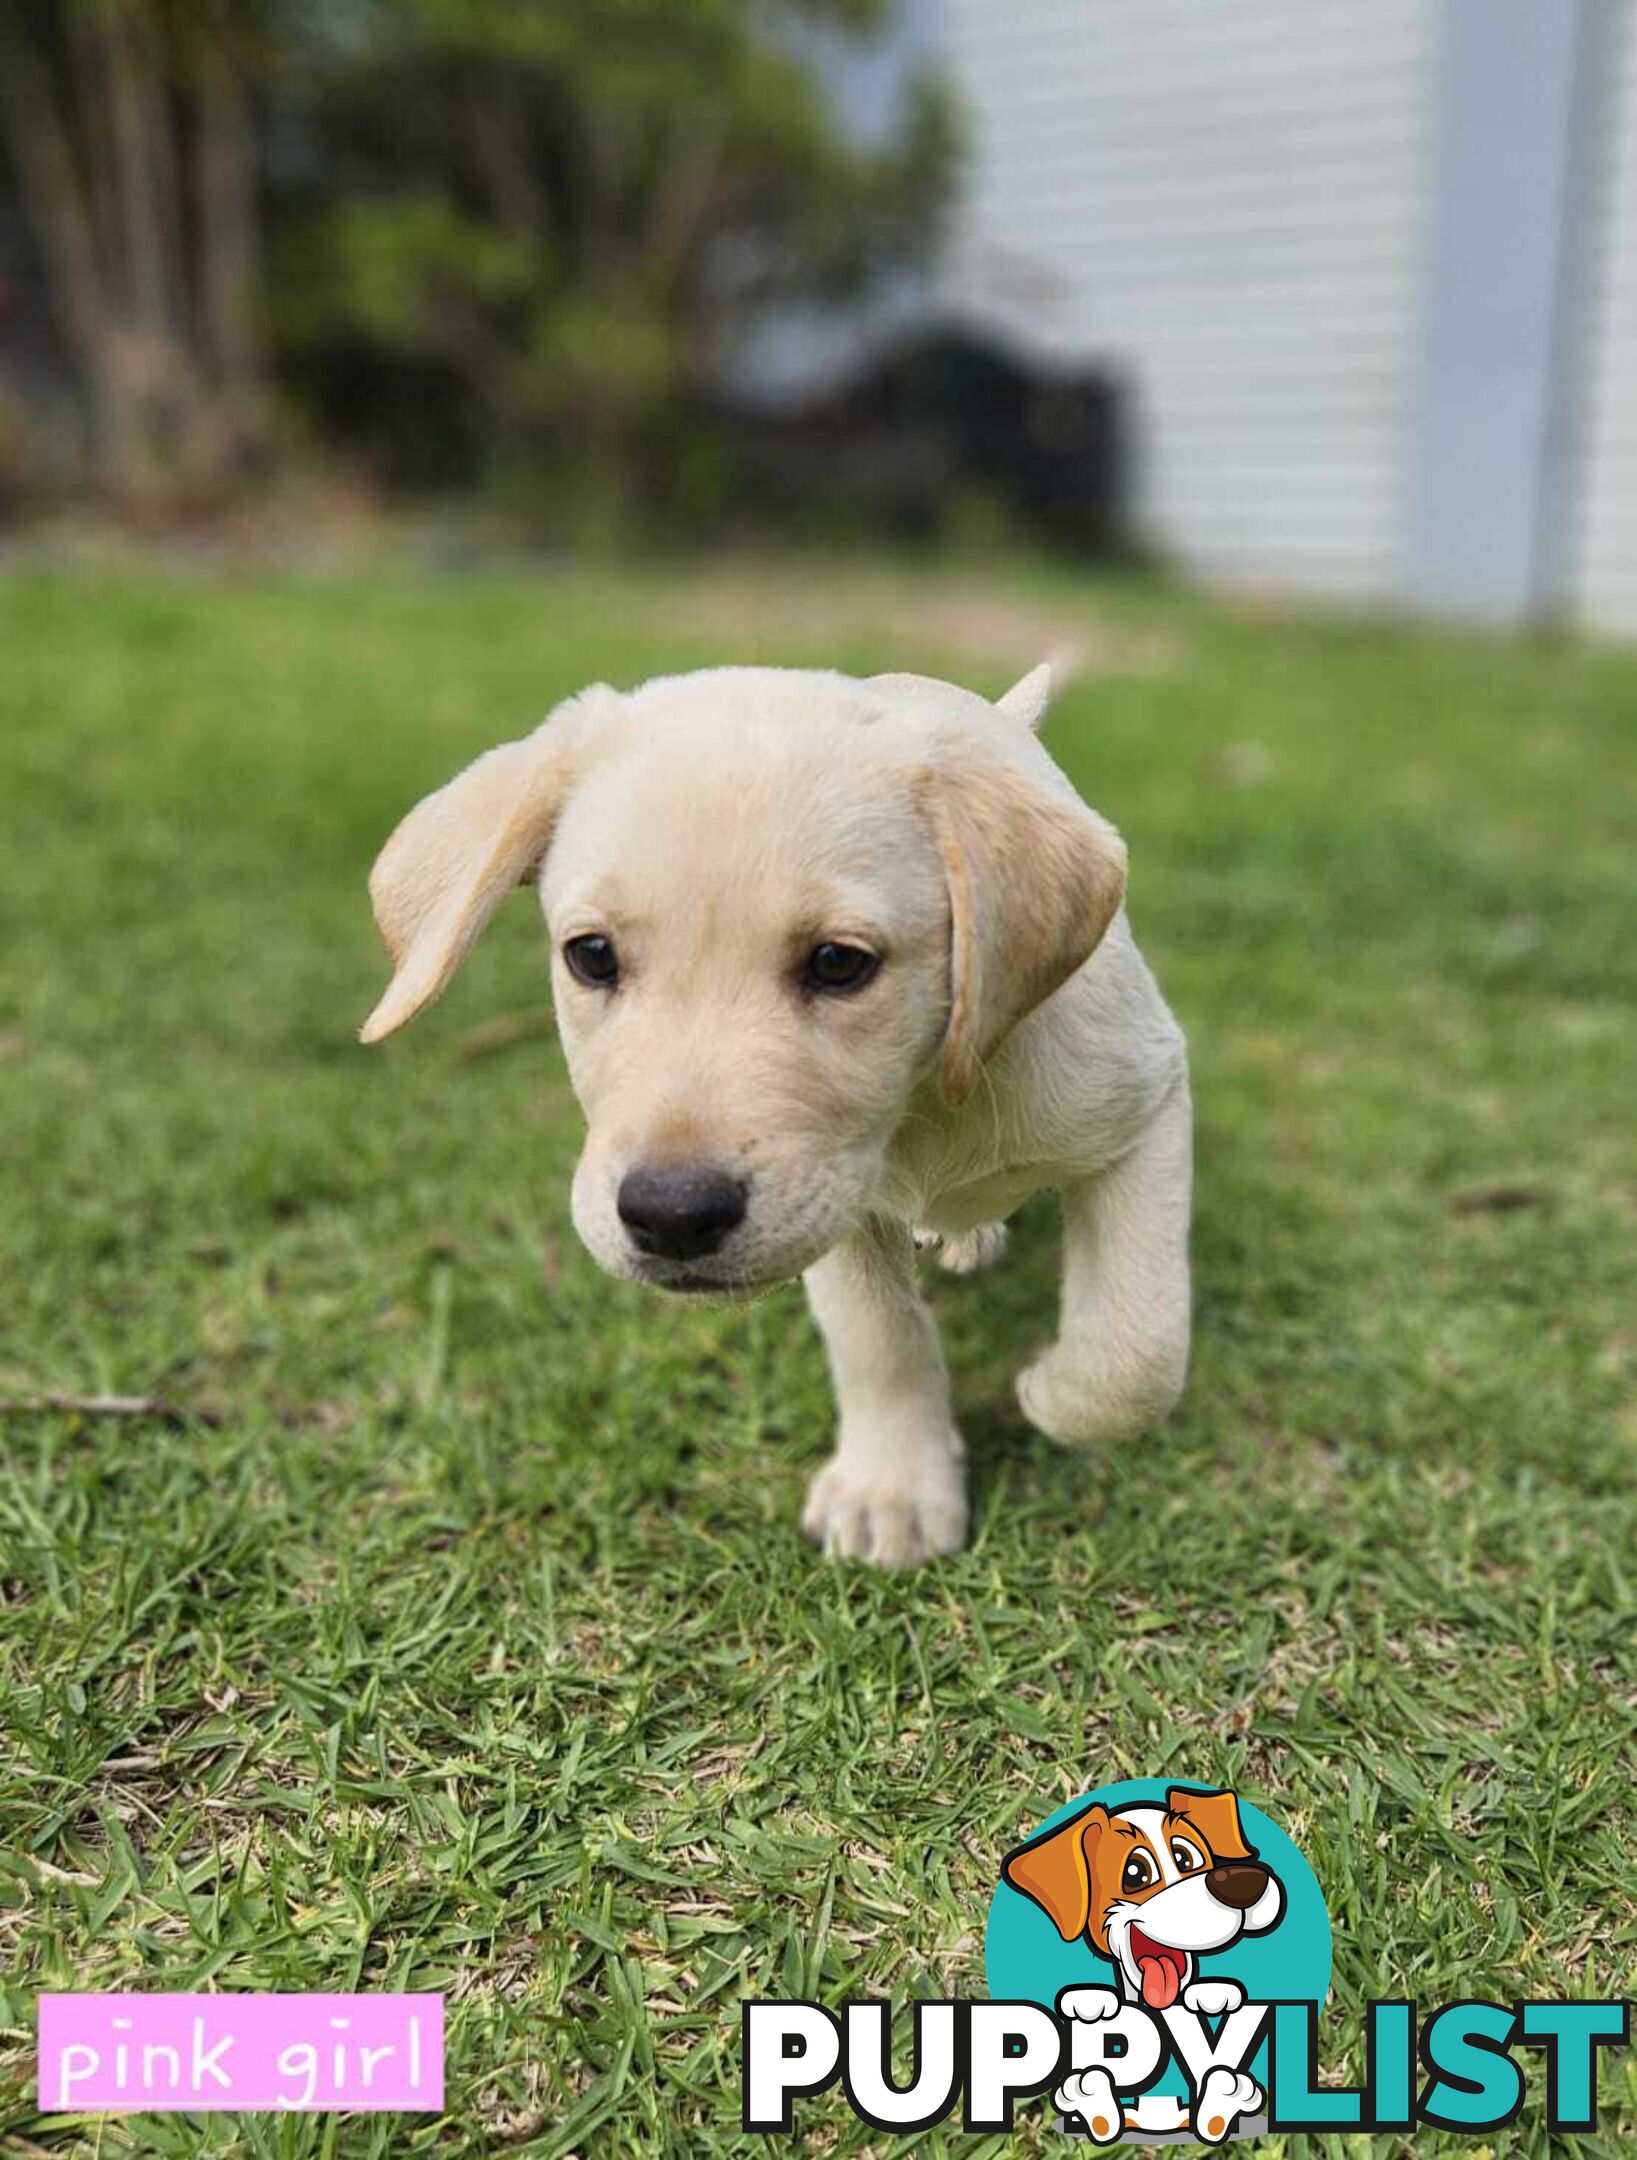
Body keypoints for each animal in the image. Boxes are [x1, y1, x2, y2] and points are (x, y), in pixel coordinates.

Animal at [364, 660, 1192, 1572]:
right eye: (591, 955)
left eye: (836, 963)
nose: (673, 1216)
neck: (926, 1096)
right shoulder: (844, 1208)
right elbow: (879, 1339)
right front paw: (891, 1490)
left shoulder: (1145, 1106)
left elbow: (1135, 1348)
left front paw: (1048, 1393)